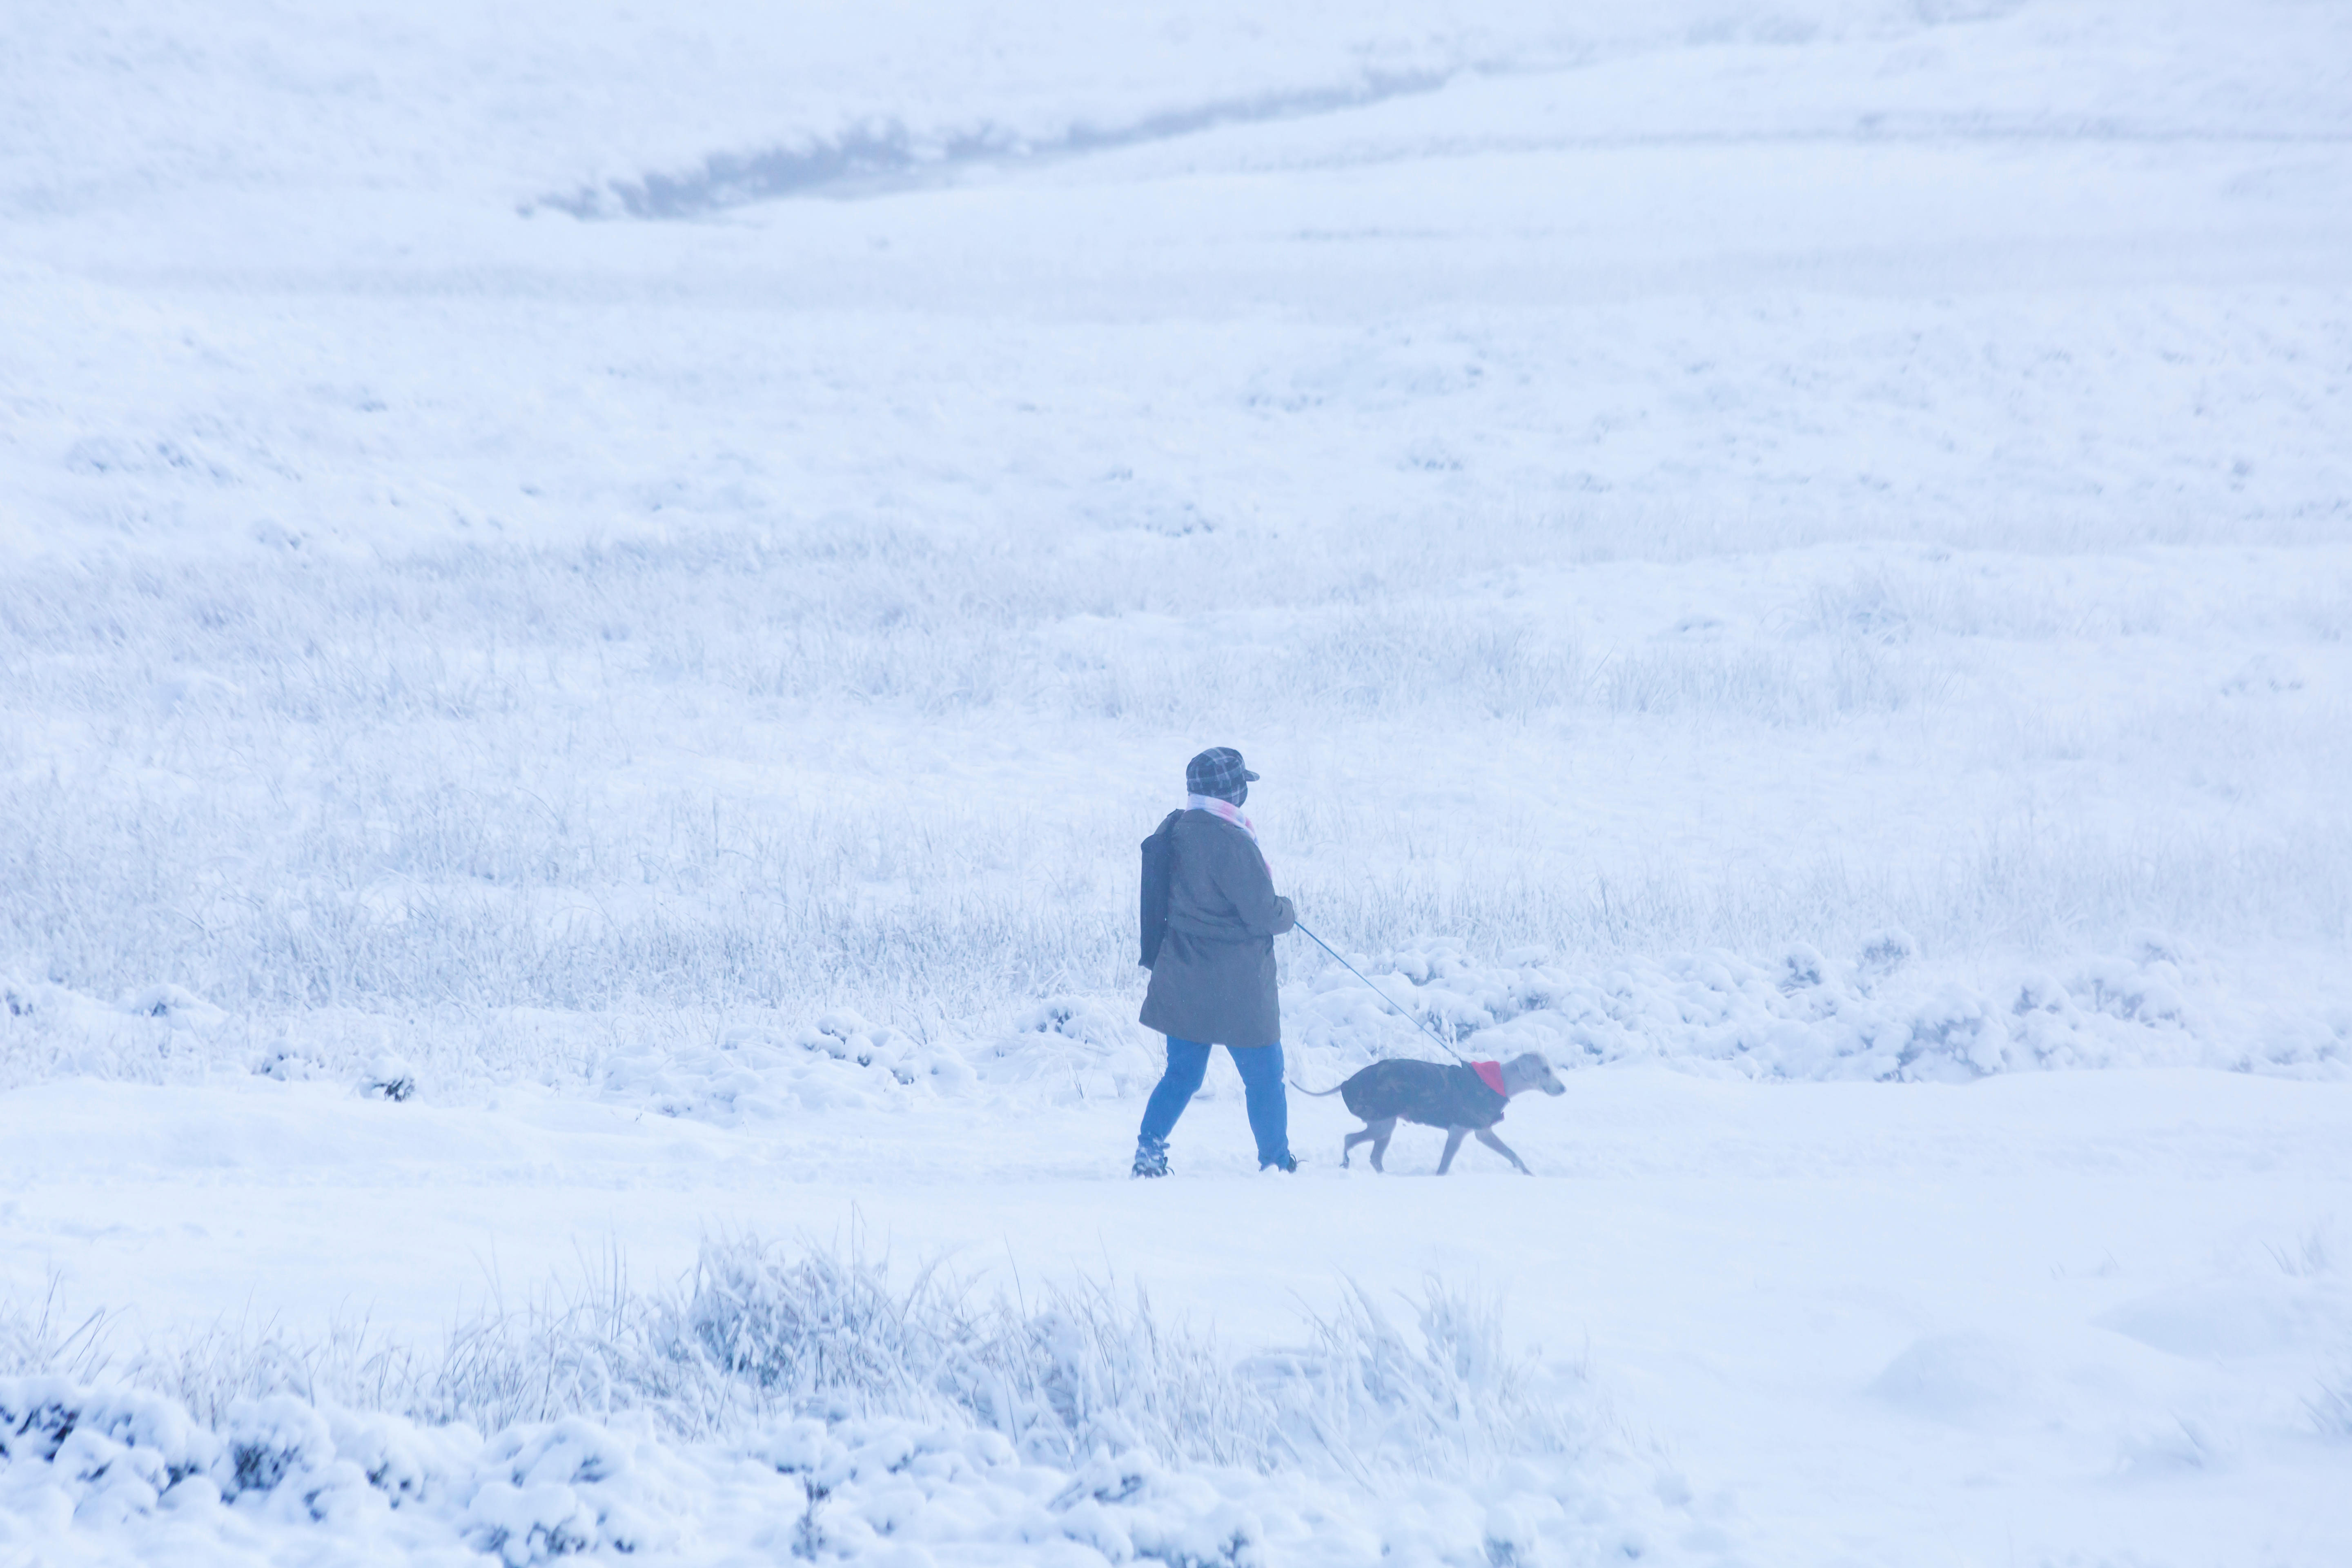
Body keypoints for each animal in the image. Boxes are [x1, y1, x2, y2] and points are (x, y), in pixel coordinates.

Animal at [1298, 1062, 1571, 1171]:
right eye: (1545, 1070)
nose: (1564, 1089)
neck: (1498, 1081)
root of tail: (1347, 1083)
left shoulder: (1483, 1131)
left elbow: (1513, 1155)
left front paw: (1528, 1174)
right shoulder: (1459, 1131)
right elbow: (1444, 1165)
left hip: (1384, 1127)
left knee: (1373, 1157)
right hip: (1382, 1124)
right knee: (1349, 1140)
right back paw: (1348, 1162)